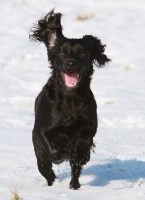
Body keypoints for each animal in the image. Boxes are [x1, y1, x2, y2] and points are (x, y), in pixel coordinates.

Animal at [29, 9, 110, 189]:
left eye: (82, 52)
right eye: (61, 53)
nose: (70, 64)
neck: (70, 98)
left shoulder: (90, 121)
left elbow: (84, 137)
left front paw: (80, 154)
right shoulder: (40, 128)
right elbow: (50, 146)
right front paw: (59, 155)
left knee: (75, 170)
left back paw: (75, 185)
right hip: (39, 154)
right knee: (46, 169)